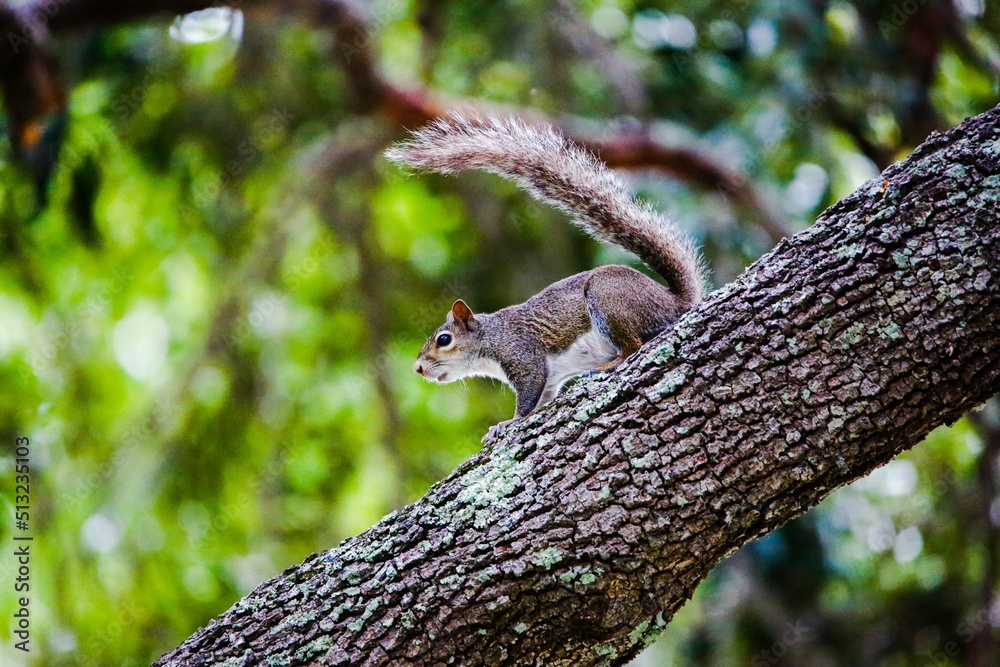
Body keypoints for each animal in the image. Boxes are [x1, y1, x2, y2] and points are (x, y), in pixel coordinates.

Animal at [386, 116, 708, 434]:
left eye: (444, 340)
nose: (418, 368)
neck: (490, 337)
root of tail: (671, 300)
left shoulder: (523, 355)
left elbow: (528, 394)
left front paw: (509, 423)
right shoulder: (550, 379)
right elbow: (544, 397)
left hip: (607, 298)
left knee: (632, 346)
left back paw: (607, 364)